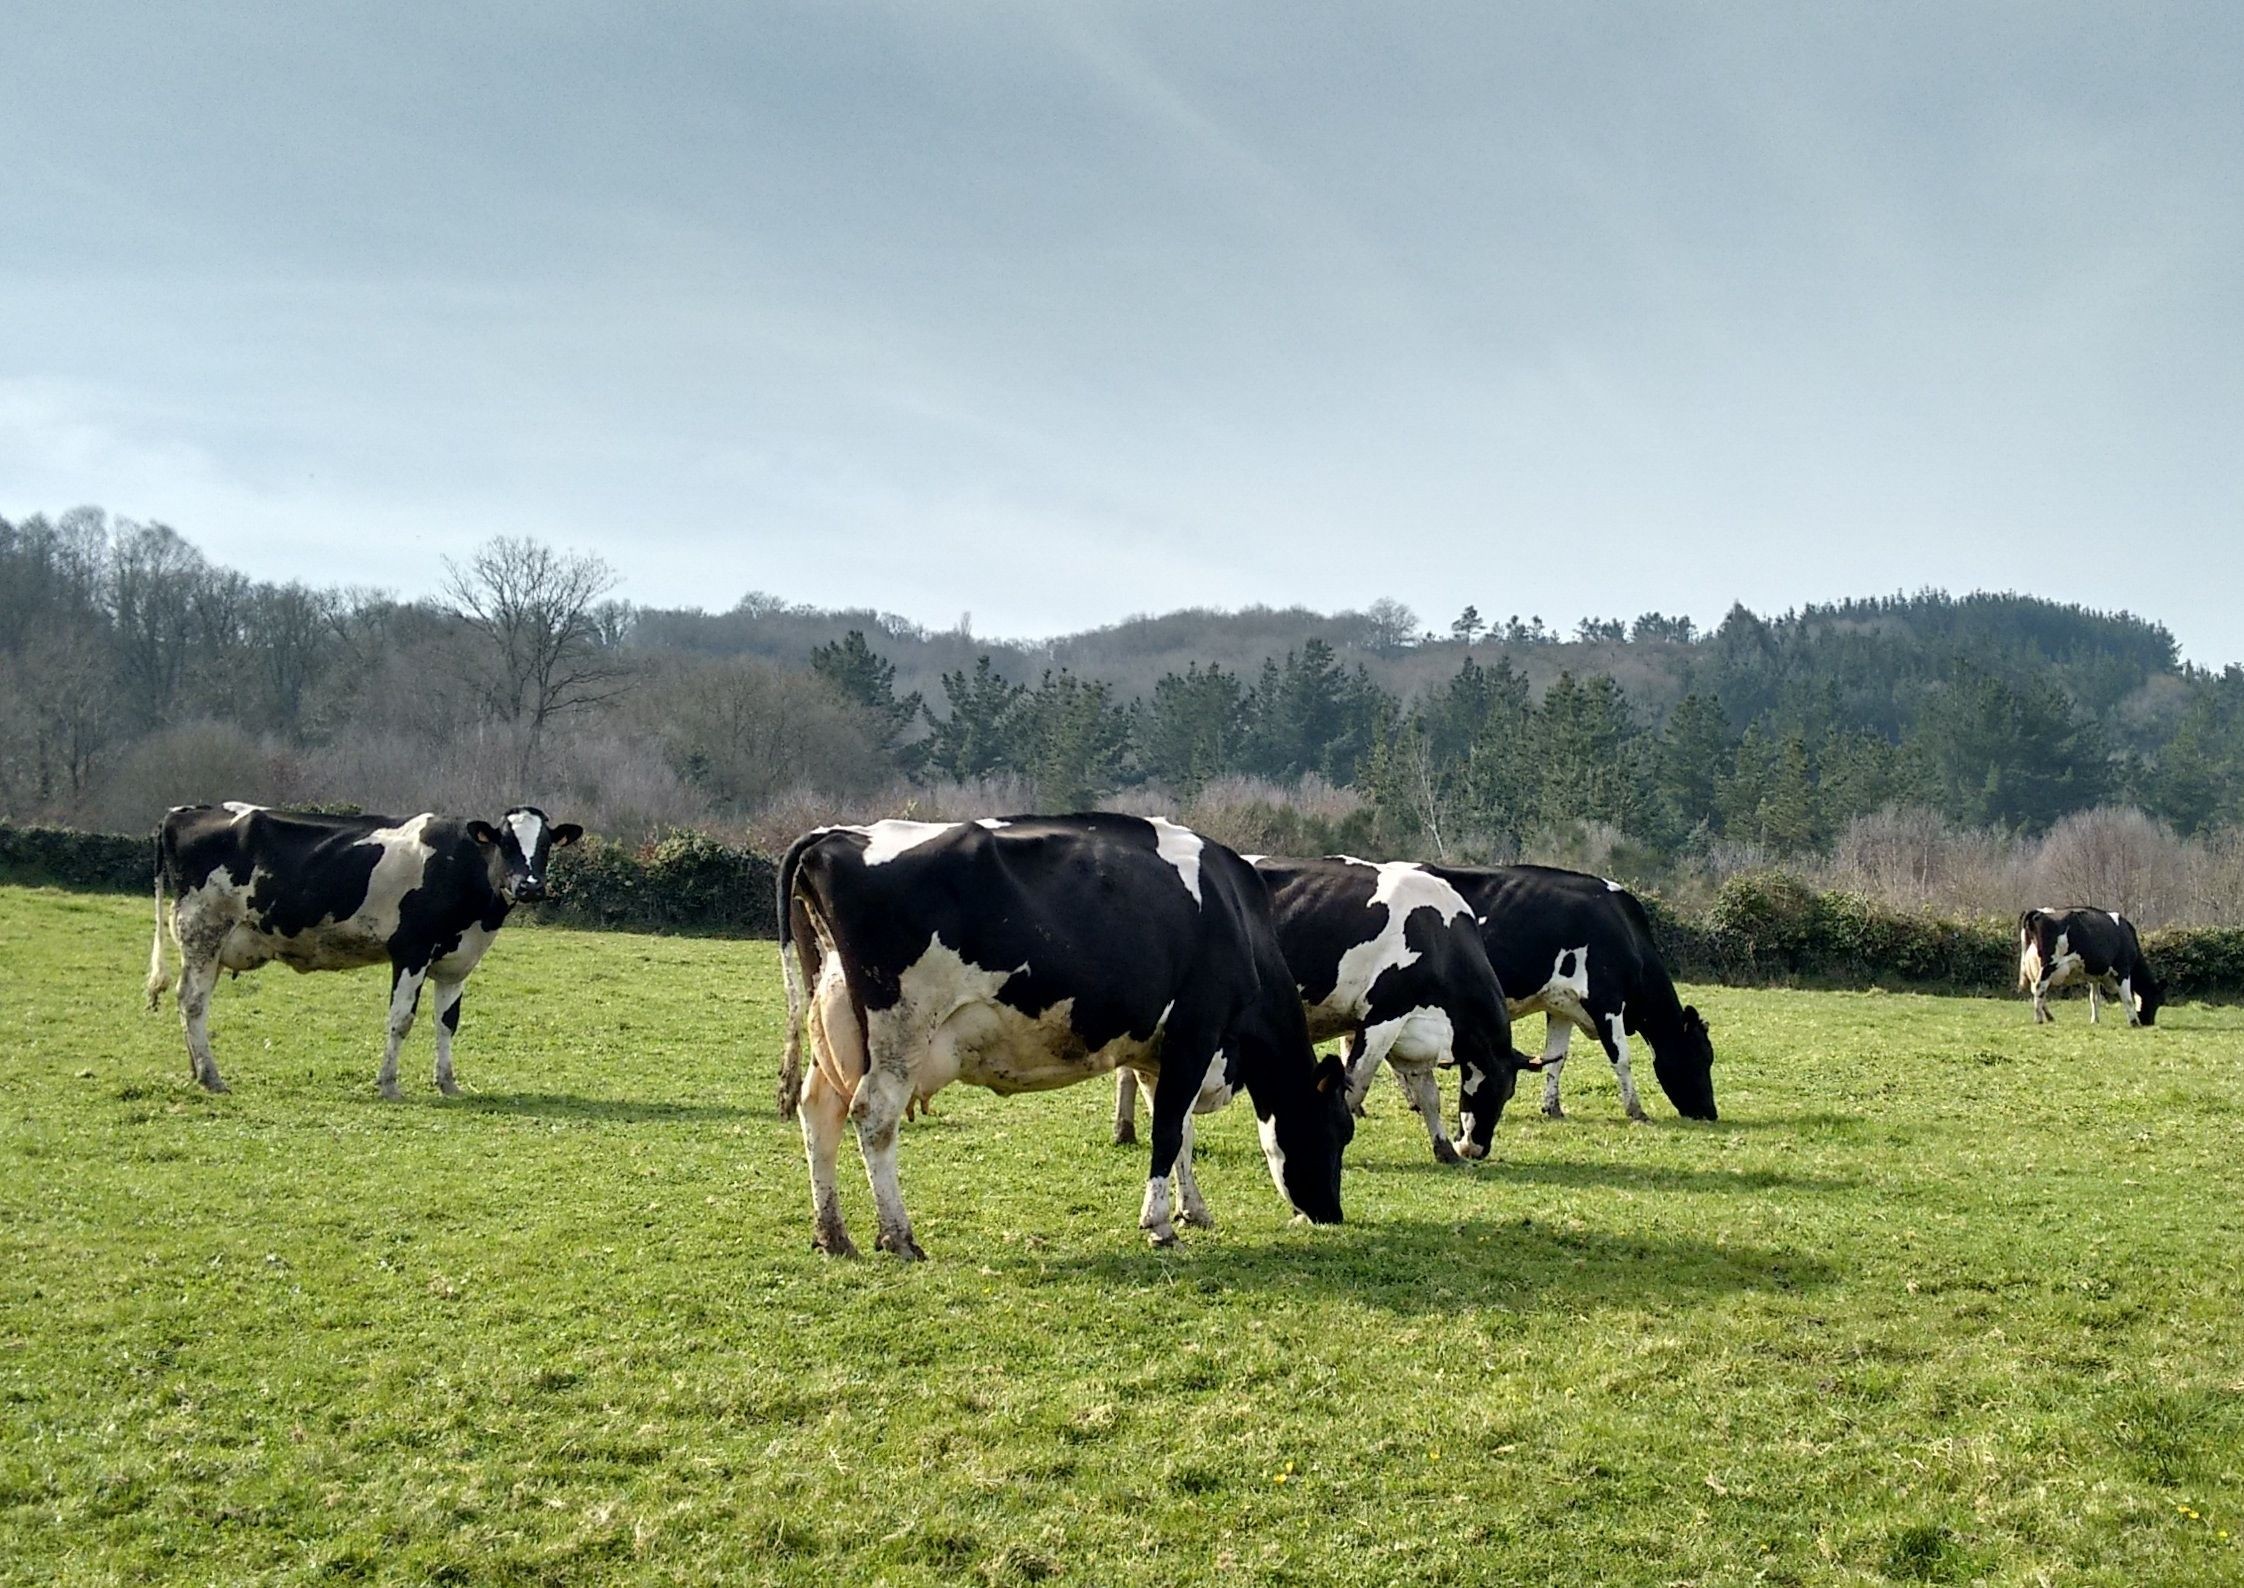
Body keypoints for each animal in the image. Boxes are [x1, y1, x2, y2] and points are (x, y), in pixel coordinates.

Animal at [142, 807, 578, 1090]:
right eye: (504, 842)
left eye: (546, 845)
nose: (531, 886)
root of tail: (182, 812)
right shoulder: (412, 951)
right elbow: (401, 1020)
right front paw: (387, 1083)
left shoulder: (456, 962)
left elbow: (447, 1023)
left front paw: (447, 1082)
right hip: (203, 930)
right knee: (193, 1002)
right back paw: (212, 1076)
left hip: (210, 945)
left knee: (189, 1001)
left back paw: (197, 1069)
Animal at [771, 820, 1346, 1256]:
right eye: (1339, 1132)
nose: (1332, 1215)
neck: (1239, 918)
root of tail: (837, 835)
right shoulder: (1196, 1030)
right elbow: (1166, 1131)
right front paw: (1159, 1225)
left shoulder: (1159, 1052)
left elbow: (1179, 1131)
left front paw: (1193, 1211)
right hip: (901, 1031)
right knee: (874, 1117)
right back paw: (900, 1237)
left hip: (835, 1026)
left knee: (819, 1112)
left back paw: (833, 1235)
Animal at [1108, 856, 1543, 1166]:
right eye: (1497, 1091)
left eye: (1511, 1092)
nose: (1477, 1148)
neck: (1439, 933)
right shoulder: (1382, 1016)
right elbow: (1356, 1084)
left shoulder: (1413, 1033)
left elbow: (1428, 1095)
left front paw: (1445, 1150)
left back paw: (1124, 1130)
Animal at [1418, 861, 1714, 1121]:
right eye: (1701, 1056)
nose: (1711, 1113)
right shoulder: (1606, 1001)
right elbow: (1622, 1058)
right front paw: (1636, 1111)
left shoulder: (1561, 1006)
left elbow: (1556, 1059)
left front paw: (1552, 1108)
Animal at [2019, 906, 2154, 1031]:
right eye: (2156, 997)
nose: (2149, 1023)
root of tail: (2039, 912)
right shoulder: (2123, 970)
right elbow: (2128, 998)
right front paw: (2133, 1022)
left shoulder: (2094, 976)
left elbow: (2094, 998)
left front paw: (2095, 1020)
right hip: (2048, 967)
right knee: (2039, 989)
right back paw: (2039, 1019)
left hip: (2034, 969)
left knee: (2036, 990)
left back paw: (2049, 1016)